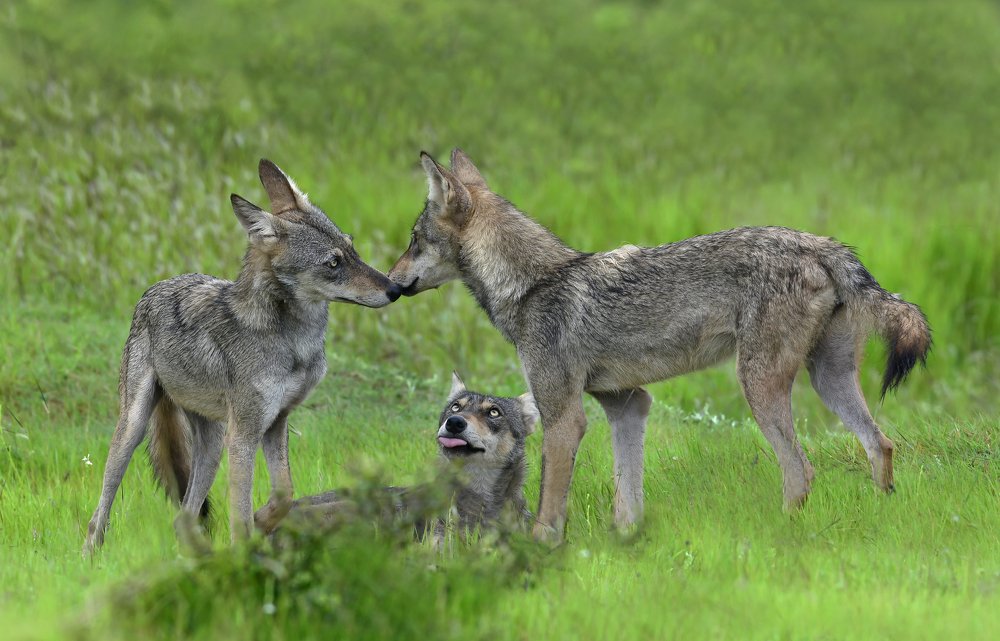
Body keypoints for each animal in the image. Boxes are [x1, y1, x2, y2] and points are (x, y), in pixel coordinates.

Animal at [83, 159, 400, 554]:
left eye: (352, 249)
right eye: (333, 263)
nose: (396, 288)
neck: (295, 344)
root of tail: (155, 288)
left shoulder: (276, 421)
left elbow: (284, 495)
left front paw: (264, 522)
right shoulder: (244, 434)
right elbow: (239, 517)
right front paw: (245, 551)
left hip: (212, 444)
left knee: (183, 518)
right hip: (135, 428)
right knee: (99, 514)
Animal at [386, 149, 931, 541]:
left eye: (413, 240)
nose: (389, 285)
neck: (534, 285)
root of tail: (823, 244)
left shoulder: (565, 416)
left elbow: (548, 508)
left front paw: (539, 551)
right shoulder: (628, 404)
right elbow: (628, 497)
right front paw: (627, 546)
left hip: (759, 386)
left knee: (802, 472)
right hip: (828, 381)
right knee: (879, 445)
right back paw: (882, 517)